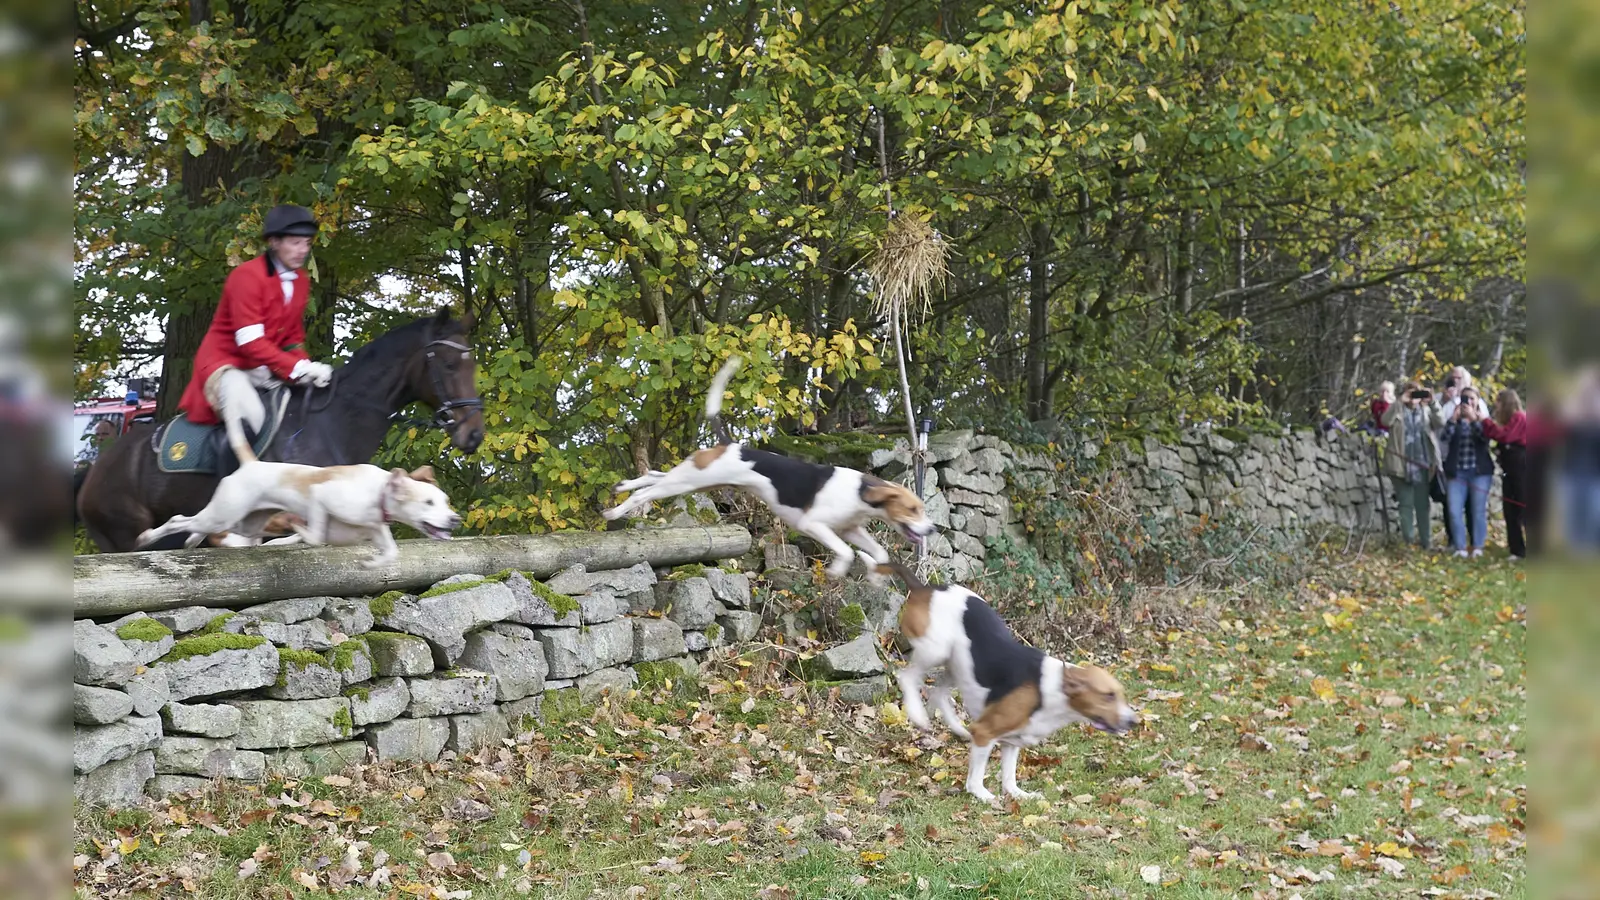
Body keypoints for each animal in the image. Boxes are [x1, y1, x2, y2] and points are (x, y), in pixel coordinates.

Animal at [81, 304, 480, 550]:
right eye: (447, 365)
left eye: (472, 363)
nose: (474, 434)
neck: (332, 423)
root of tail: (94, 469)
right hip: (121, 528)